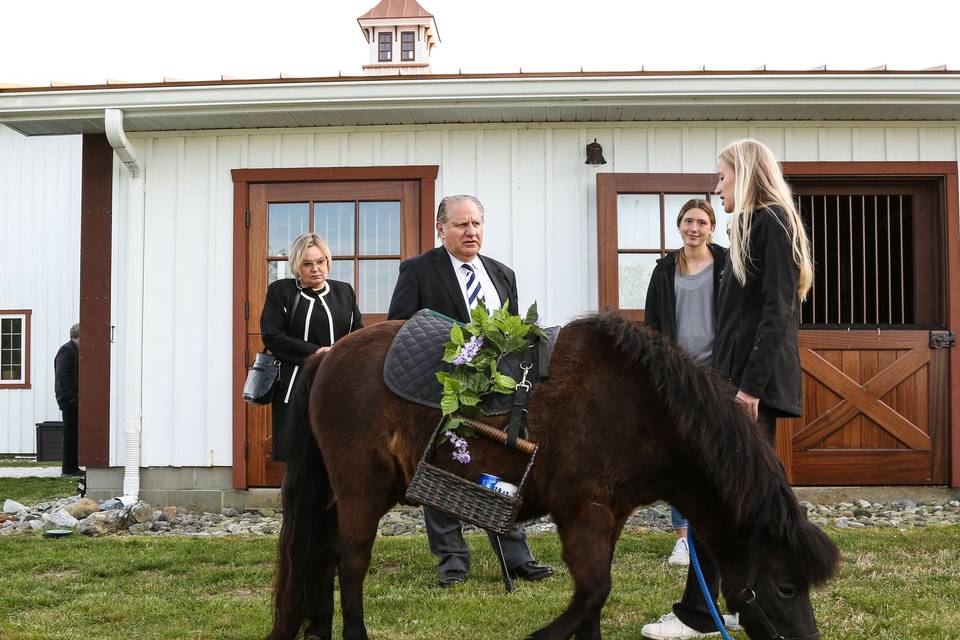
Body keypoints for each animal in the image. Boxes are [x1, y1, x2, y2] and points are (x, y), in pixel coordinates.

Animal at [266, 316, 836, 640]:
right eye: (786, 587)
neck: (640, 405)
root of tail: (328, 354)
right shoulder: (583, 513)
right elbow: (593, 594)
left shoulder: (609, 517)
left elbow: (593, 603)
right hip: (360, 489)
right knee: (350, 564)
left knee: (322, 557)